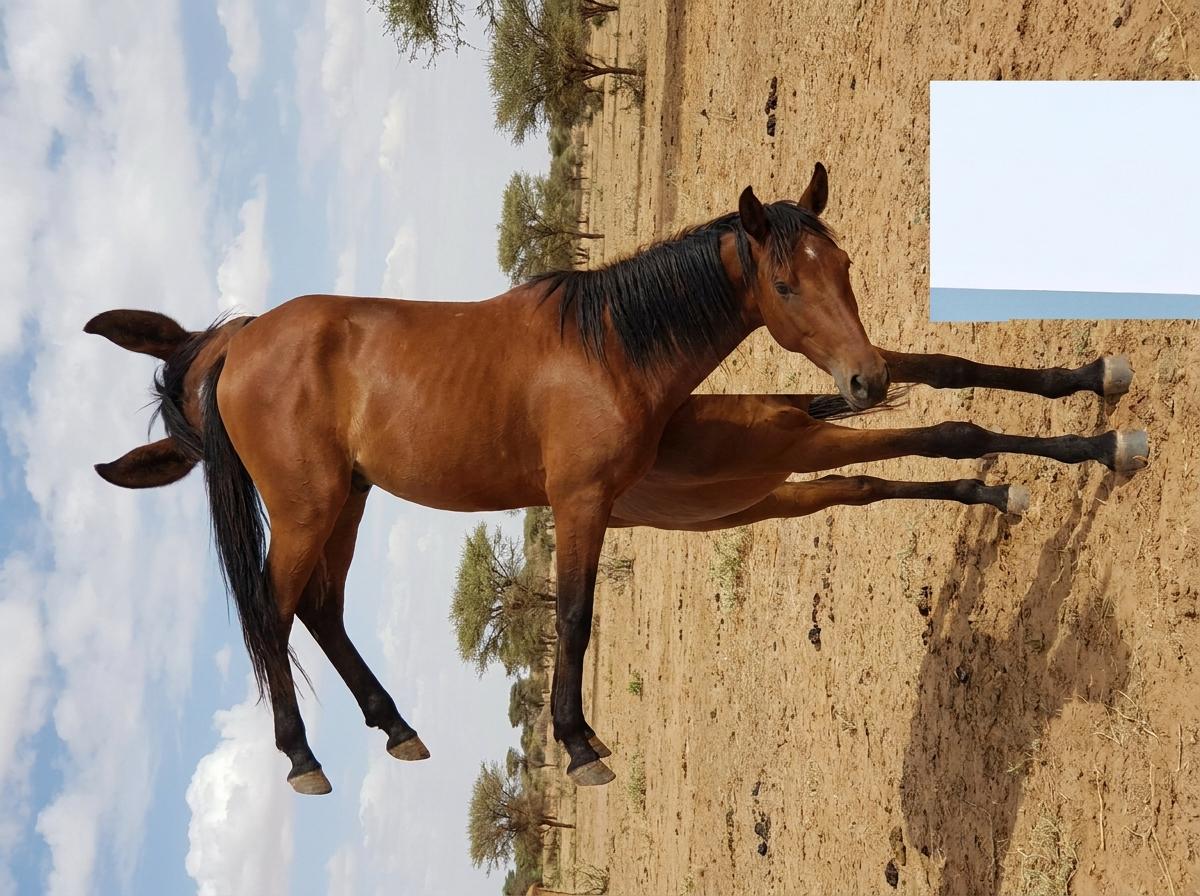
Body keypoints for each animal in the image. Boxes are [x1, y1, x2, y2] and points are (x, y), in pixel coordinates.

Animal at [86, 164, 1147, 794]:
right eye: (786, 282)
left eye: (841, 261)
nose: (861, 380)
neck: (610, 349)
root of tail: (238, 342)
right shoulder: (584, 504)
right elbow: (577, 617)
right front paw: (580, 744)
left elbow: (951, 376)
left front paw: (1100, 398)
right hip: (308, 509)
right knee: (273, 616)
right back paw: (305, 756)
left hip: (346, 502)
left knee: (320, 611)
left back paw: (395, 729)